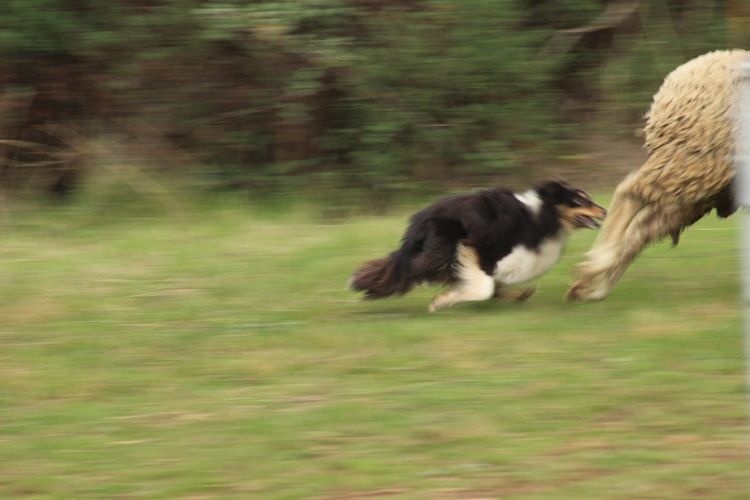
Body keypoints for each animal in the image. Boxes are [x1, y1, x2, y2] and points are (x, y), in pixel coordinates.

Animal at [352, 180, 604, 312]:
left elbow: (495, 286)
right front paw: (442, 300)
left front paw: (518, 294)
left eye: (588, 198)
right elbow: (486, 286)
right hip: (443, 246)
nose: (604, 211)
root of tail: (419, 221)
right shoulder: (477, 248)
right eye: (579, 200)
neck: (542, 215)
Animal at [568, 49, 748, 300]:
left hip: (702, 180)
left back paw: (591, 286)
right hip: (697, 159)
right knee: (630, 193)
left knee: (643, 227)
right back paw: (596, 266)